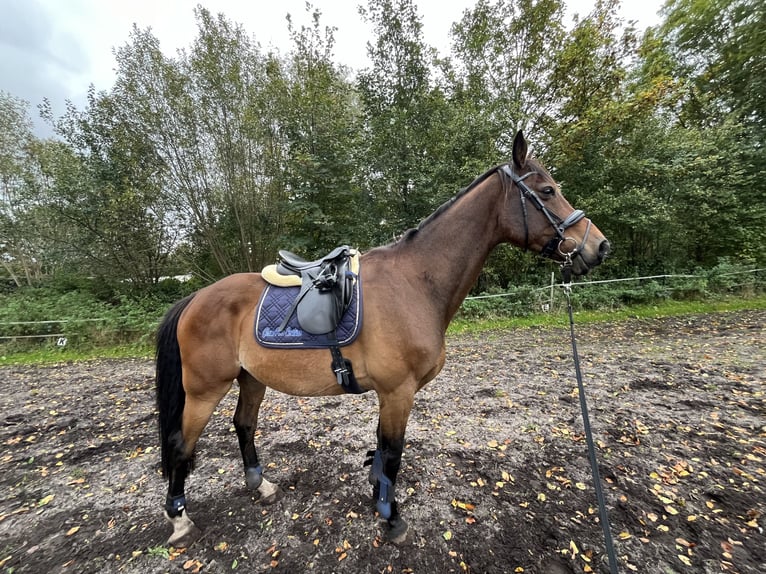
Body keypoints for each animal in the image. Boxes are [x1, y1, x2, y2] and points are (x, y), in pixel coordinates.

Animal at [154, 132, 612, 548]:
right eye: (548, 191)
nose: (600, 246)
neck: (415, 282)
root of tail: (195, 298)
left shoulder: (390, 393)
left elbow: (380, 450)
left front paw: (380, 501)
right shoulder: (397, 391)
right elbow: (392, 454)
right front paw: (393, 520)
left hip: (250, 378)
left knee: (244, 426)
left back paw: (259, 484)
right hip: (204, 390)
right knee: (181, 445)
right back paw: (178, 518)